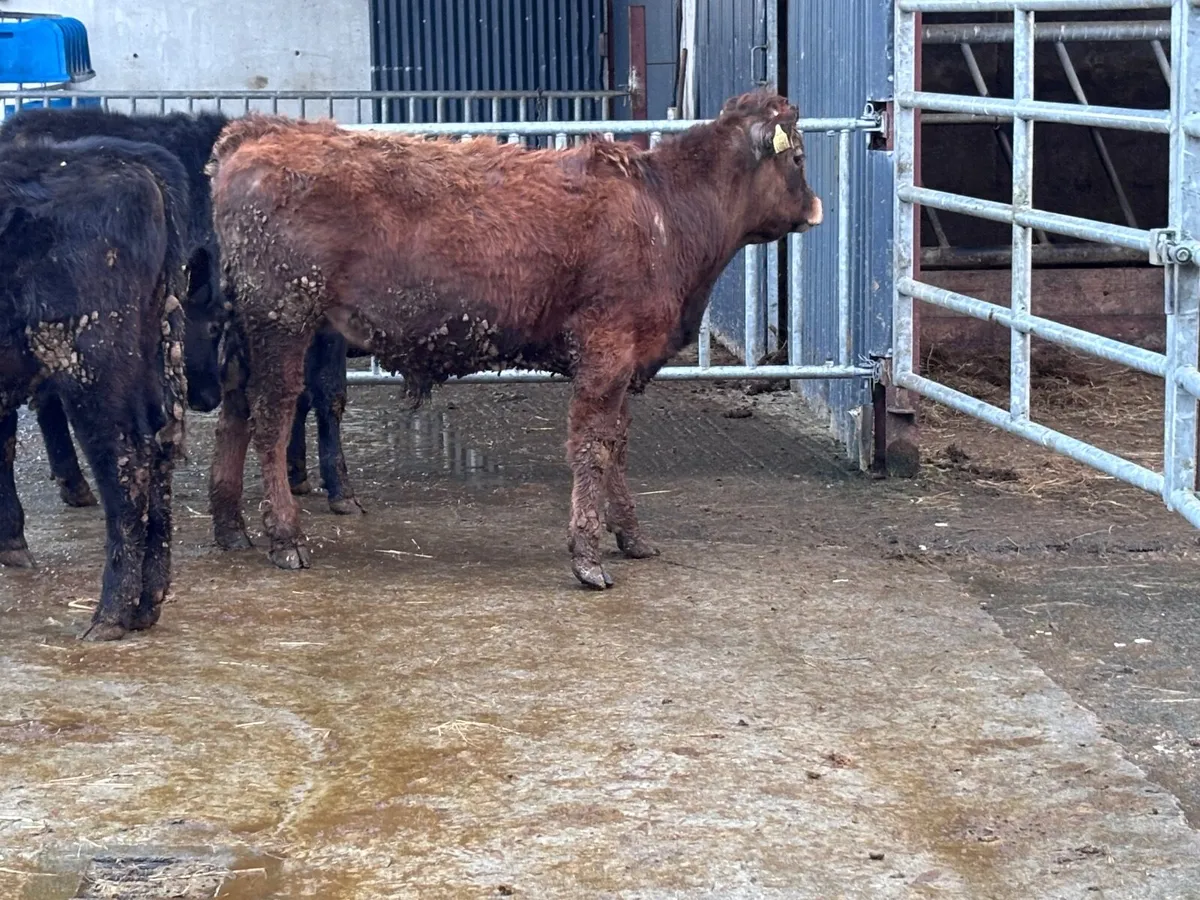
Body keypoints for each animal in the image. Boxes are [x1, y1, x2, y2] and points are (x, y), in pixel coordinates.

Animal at [0, 135, 194, 639]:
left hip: (93, 368)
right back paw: (146, 604)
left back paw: (110, 614)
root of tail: (134, 161)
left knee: (127, 461)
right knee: (158, 455)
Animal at [206, 89, 823, 588]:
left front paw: (630, 536)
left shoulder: (624, 361)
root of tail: (259, 132)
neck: (664, 210)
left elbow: (618, 445)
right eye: (797, 157)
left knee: (235, 410)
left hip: (249, 327)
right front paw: (587, 556)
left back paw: (230, 526)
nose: (816, 208)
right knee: (272, 414)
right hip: (283, 319)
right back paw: (284, 537)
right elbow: (593, 448)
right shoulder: (607, 349)